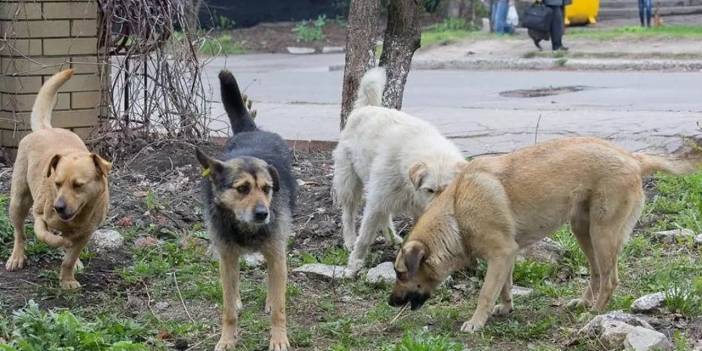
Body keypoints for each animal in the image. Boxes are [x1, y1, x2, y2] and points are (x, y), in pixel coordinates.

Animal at [4, 70, 111, 290]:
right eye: (57, 183)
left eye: (78, 185)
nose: (58, 207)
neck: (77, 217)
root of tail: (45, 129)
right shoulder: (39, 216)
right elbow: (45, 235)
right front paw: (60, 243)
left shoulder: (86, 233)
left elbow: (70, 258)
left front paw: (67, 278)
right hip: (19, 201)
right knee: (20, 233)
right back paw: (17, 256)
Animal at [197, 70, 296, 350]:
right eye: (242, 188)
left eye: (267, 188)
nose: (263, 214)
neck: (246, 227)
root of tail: (252, 130)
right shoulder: (227, 255)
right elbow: (228, 308)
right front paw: (227, 338)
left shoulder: (276, 253)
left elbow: (280, 307)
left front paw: (279, 338)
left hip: (278, 248)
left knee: (275, 280)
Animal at [334, 68, 468, 276]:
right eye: (430, 190)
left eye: (447, 190)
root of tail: (366, 108)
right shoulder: (376, 201)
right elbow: (365, 237)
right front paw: (354, 263)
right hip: (350, 182)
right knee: (348, 213)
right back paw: (349, 240)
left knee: (385, 215)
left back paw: (391, 238)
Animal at [390, 137, 702, 332]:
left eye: (401, 274)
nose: (390, 302)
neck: (456, 211)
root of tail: (633, 158)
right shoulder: (507, 256)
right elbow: (505, 286)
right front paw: (506, 308)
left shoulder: (500, 254)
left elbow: (486, 293)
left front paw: (477, 322)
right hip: (584, 232)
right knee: (597, 273)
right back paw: (585, 302)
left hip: (603, 234)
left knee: (610, 278)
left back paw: (595, 311)